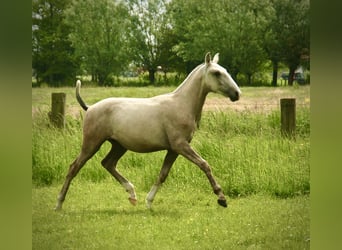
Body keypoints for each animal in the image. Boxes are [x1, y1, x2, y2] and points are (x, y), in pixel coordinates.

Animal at [54, 52, 240, 211]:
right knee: (74, 167)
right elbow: (204, 164)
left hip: (119, 146)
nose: (236, 94)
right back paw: (59, 204)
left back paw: (132, 195)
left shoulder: (174, 149)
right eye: (216, 73)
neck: (182, 104)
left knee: (108, 163)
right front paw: (222, 198)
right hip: (92, 144)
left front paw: (149, 202)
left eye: (225, 71)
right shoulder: (180, 145)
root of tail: (90, 107)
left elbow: (163, 174)